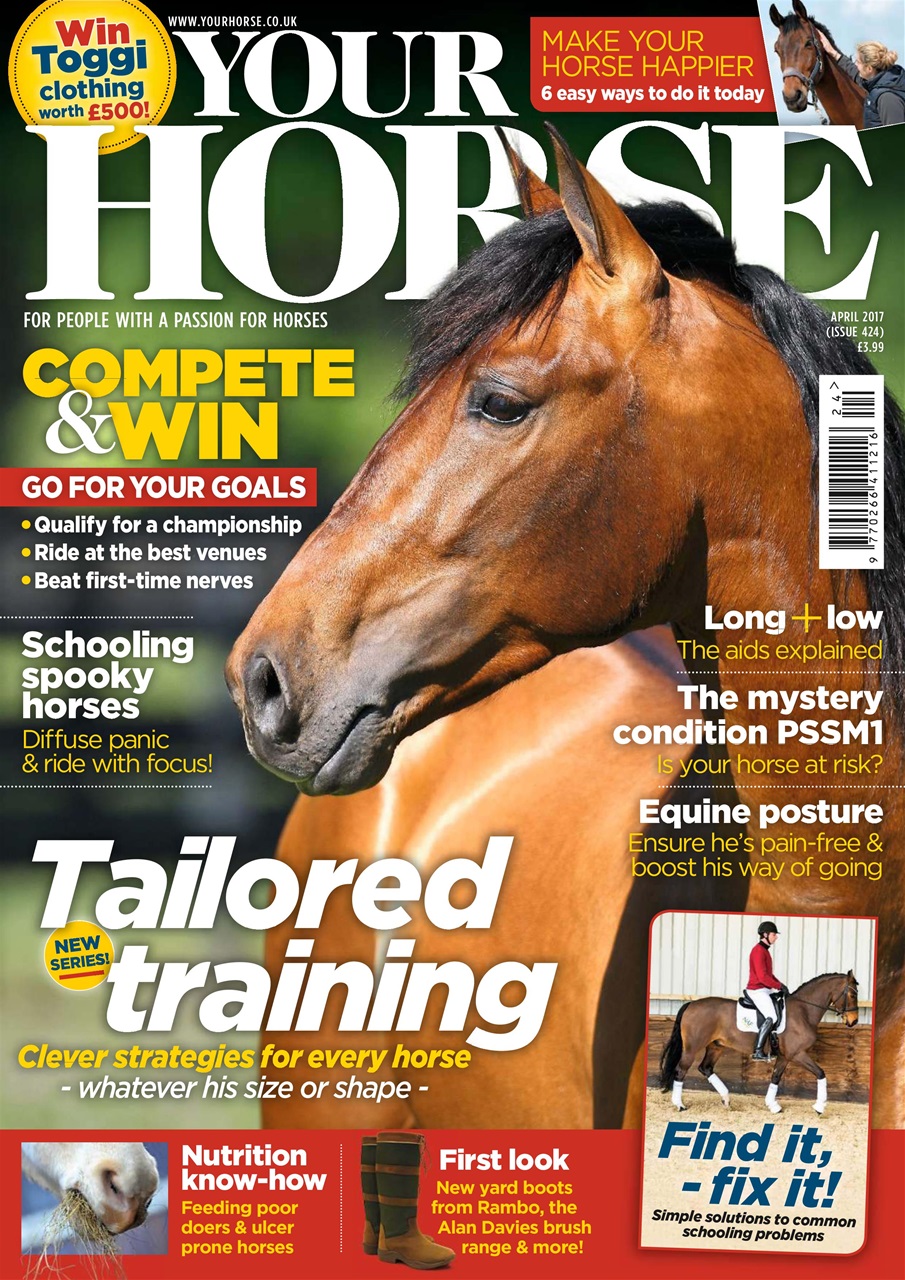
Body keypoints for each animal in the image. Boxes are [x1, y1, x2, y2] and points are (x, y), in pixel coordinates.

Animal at [658, 971, 859, 1115]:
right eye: (851, 994)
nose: (854, 1021)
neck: (803, 1011)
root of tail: (690, 1005)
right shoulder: (797, 1054)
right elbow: (820, 1073)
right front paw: (819, 1107)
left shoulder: (785, 1056)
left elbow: (775, 1077)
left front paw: (773, 1106)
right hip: (692, 1048)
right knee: (680, 1071)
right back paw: (680, 1105)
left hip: (716, 1046)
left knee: (705, 1068)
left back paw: (726, 1099)